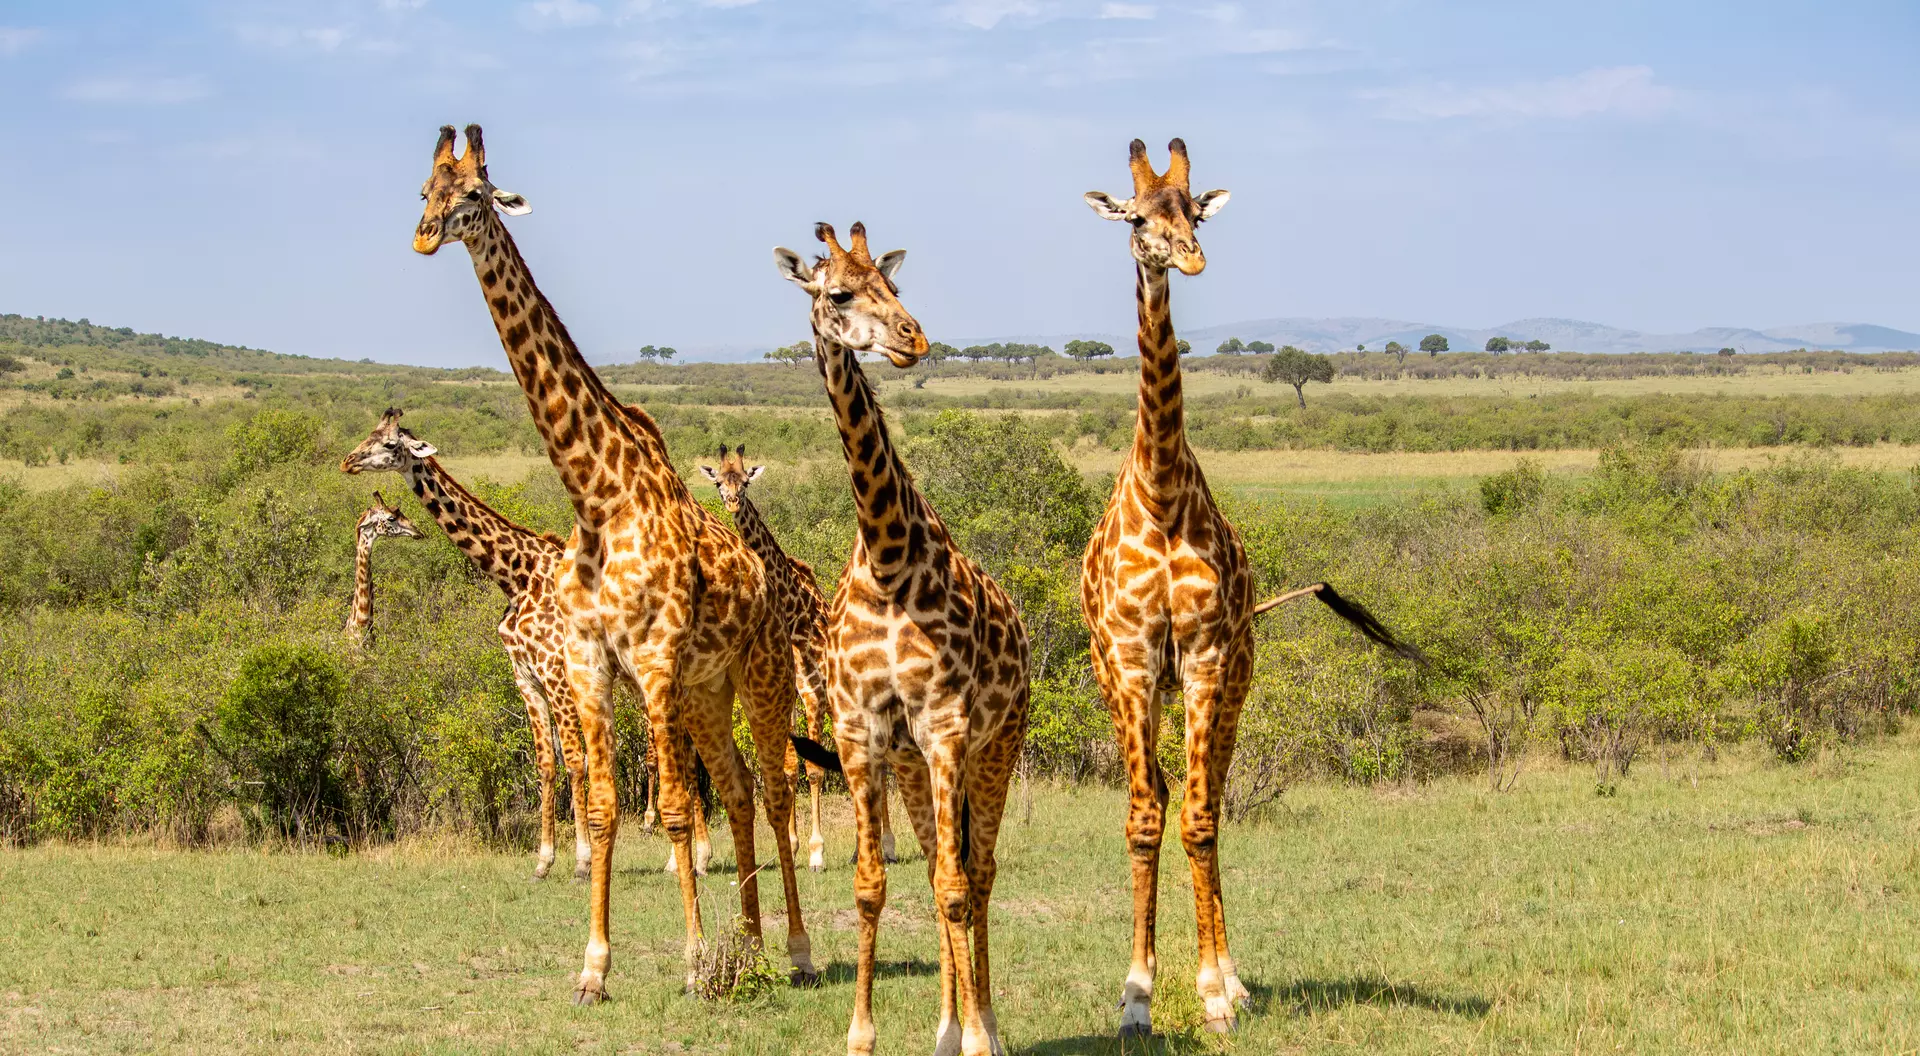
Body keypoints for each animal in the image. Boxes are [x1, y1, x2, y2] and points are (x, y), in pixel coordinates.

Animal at [411, 124, 813, 1002]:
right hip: (706, 691)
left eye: (474, 195)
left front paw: (693, 962)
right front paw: (593, 968)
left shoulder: (654, 661)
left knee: (773, 787)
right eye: (424, 189)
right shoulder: (591, 664)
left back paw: (796, 950)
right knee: (737, 786)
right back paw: (751, 943)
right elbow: (602, 809)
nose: (423, 237)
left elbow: (671, 807)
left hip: (762, 673)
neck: (597, 496)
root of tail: (766, 576)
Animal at [698, 444, 898, 870]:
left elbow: (815, 771)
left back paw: (884, 844)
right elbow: (789, 769)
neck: (797, 619)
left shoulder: (816, 697)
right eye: (719, 482)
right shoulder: (790, 697)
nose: (733, 502)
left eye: (746, 480)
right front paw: (789, 843)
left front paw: (817, 851)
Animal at [775, 222, 1030, 1056]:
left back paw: (984, 1023)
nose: (913, 339)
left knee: (978, 872)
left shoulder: (948, 728)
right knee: (939, 868)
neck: (888, 562)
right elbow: (873, 885)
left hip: (995, 746)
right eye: (838, 293)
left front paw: (980, 1037)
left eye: (892, 285)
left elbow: (955, 886)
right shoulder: (862, 732)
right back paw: (948, 1026)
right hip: (916, 762)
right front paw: (864, 1033)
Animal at [1080, 139, 1417, 1038]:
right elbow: (1144, 816)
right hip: (1130, 681)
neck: (1162, 492)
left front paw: (1212, 992)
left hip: (1236, 677)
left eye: (1193, 210)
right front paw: (1135, 997)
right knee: (1172, 799)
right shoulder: (1131, 661)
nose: (1189, 256)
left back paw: (1232, 981)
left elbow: (1199, 818)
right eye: (1137, 218)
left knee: (1215, 802)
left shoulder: (1204, 657)